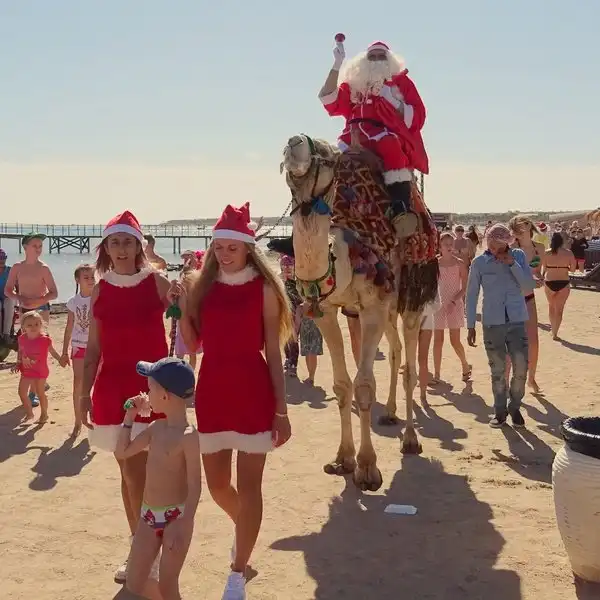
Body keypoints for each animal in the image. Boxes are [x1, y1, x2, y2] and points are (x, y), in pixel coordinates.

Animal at [280, 134, 438, 492]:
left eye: (327, 156)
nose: (294, 142)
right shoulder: (326, 311)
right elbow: (342, 385)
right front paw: (343, 459)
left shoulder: (371, 307)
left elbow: (364, 384)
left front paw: (367, 468)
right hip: (388, 307)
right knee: (395, 351)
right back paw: (390, 413)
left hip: (410, 297)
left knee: (409, 362)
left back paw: (411, 440)